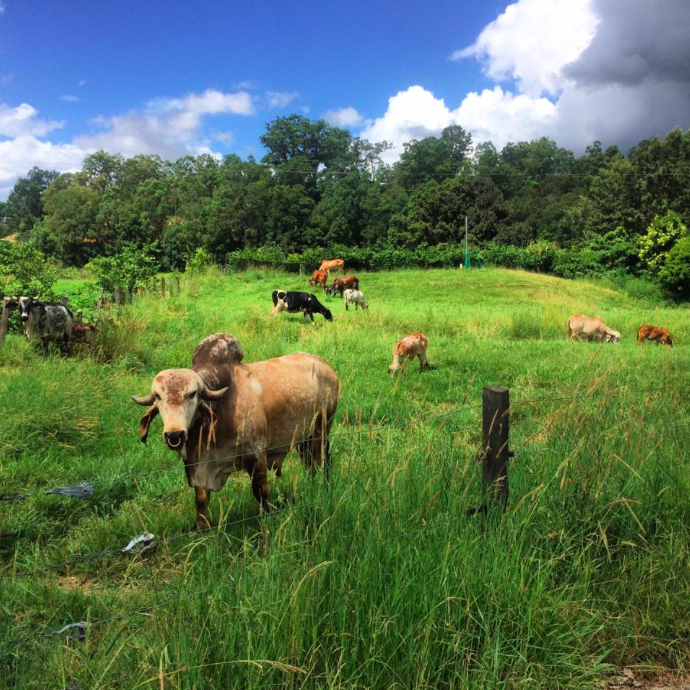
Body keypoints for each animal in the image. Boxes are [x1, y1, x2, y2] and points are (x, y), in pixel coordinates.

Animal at [132, 334, 338, 528]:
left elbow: (261, 492)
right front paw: (200, 528)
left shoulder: (256, 454)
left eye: (192, 394)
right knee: (310, 466)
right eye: (158, 396)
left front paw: (267, 518)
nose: (174, 434)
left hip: (321, 431)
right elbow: (201, 500)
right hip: (305, 440)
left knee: (321, 463)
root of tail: (326, 366)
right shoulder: (198, 466)